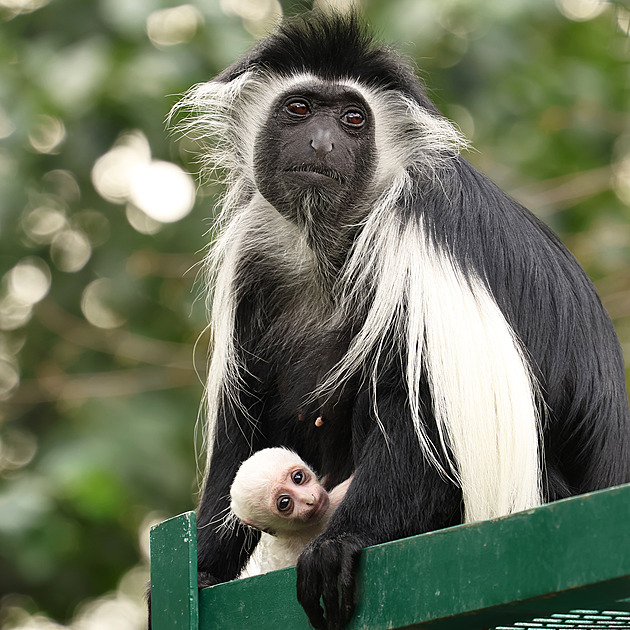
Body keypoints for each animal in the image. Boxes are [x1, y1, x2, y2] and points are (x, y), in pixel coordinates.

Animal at [174, 11, 630, 630]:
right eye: (299, 108)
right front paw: (201, 571)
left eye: (352, 118)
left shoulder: (412, 235)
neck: (333, 242)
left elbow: (429, 428)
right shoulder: (257, 264)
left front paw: (338, 546)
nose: (323, 143)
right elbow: (246, 427)